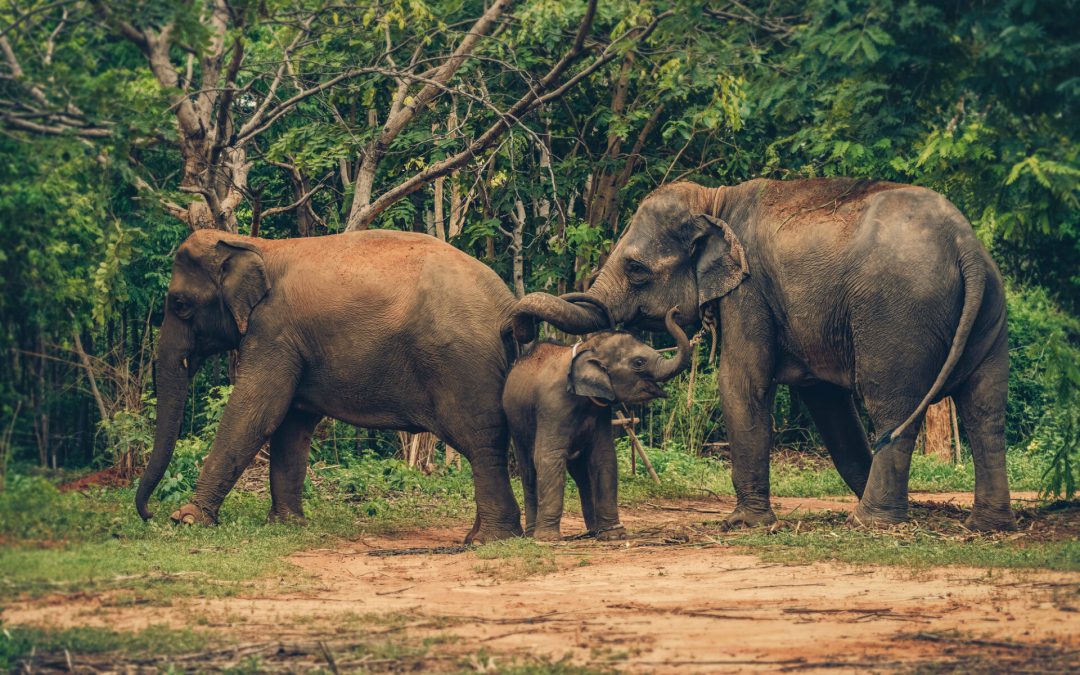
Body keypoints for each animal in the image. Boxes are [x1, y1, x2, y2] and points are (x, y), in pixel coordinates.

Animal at [136, 228, 526, 543]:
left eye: (180, 304)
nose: (149, 514)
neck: (257, 245)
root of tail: (506, 305)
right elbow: (292, 425)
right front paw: (287, 525)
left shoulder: (273, 333)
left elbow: (256, 413)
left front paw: (187, 519)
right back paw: (478, 537)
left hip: (463, 366)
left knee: (482, 443)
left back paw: (489, 540)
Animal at [504, 307, 692, 541]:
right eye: (638, 362)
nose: (675, 310)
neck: (587, 348)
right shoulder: (552, 406)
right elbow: (548, 457)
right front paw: (547, 539)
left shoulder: (601, 411)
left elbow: (604, 457)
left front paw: (614, 534)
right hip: (516, 423)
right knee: (529, 470)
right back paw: (532, 534)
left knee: (581, 475)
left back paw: (593, 531)